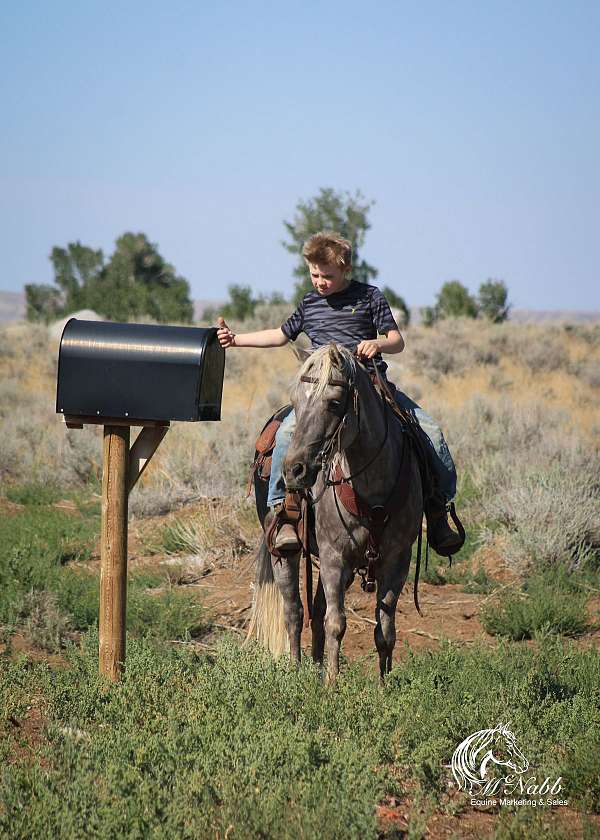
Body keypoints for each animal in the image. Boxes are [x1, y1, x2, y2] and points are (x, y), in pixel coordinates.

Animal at [246, 342, 424, 684]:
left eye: (334, 402)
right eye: (296, 401)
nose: (294, 470)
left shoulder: (397, 560)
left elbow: (385, 630)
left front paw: (383, 687)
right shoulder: (333, 557)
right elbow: (336, 623)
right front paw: (331, 685)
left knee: (315, 613)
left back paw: (315, 670)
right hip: (284, 553)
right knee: (294, 611)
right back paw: (296, 670)